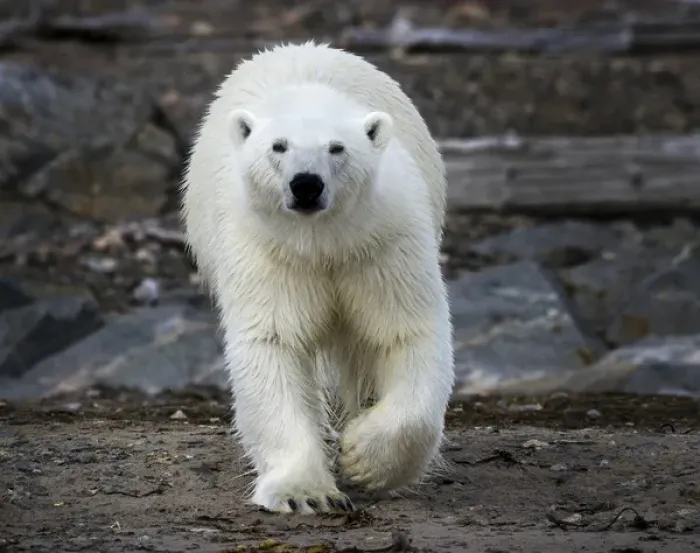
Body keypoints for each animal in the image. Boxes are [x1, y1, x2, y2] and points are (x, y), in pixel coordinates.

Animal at [181, 41, 455, 515]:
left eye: (337, 148)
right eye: (278, 146)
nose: (305, 185)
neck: (321, 242)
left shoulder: (381, 242)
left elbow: (405, 331)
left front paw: (364, 457)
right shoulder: (268, 249)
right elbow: (275, 341)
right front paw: (304, 493)